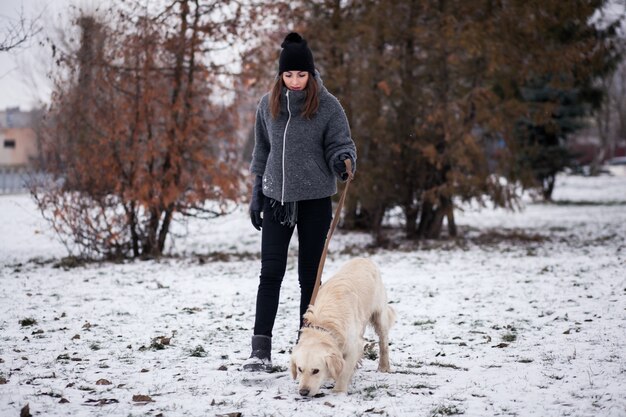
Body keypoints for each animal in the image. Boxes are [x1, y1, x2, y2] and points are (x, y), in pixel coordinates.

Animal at [288, 256, 394, 396]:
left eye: (316, 370)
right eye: (300, 369)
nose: (303, 392)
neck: (325, 325)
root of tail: (363, 258)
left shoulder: (354, 346)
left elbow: (345, 370)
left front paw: (338, 390)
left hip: (379, 317)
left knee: (383, 343)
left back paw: (383, 366)